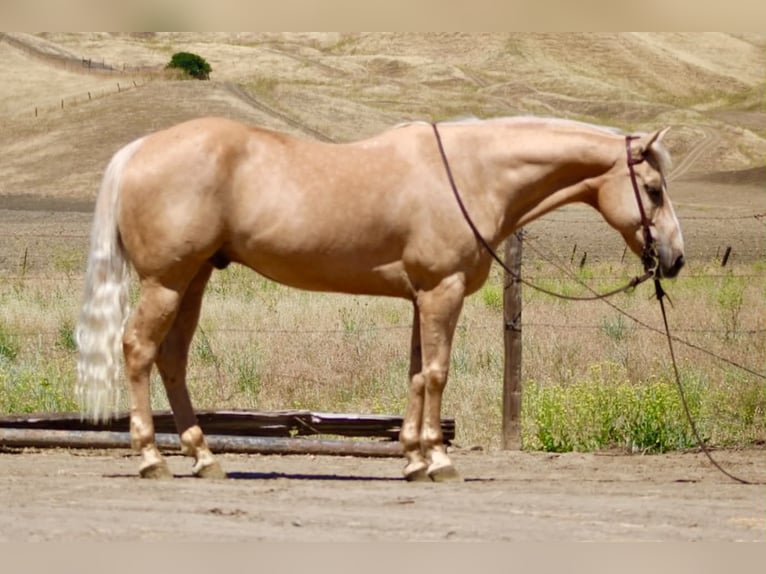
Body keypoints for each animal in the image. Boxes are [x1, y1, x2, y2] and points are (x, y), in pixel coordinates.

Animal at [75, 115, 685, 481]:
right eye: (653, 190)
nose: (675, 258)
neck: (471, 174)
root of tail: (136, 150)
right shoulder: (442, 291)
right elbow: (437, 373)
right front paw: (439, 459)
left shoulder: (422, 296)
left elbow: (416, 374)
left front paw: (413, 458)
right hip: (167, 282)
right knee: (138, 350)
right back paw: (151, 457)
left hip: (194, 280)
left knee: (172, 360)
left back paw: (203, 457)